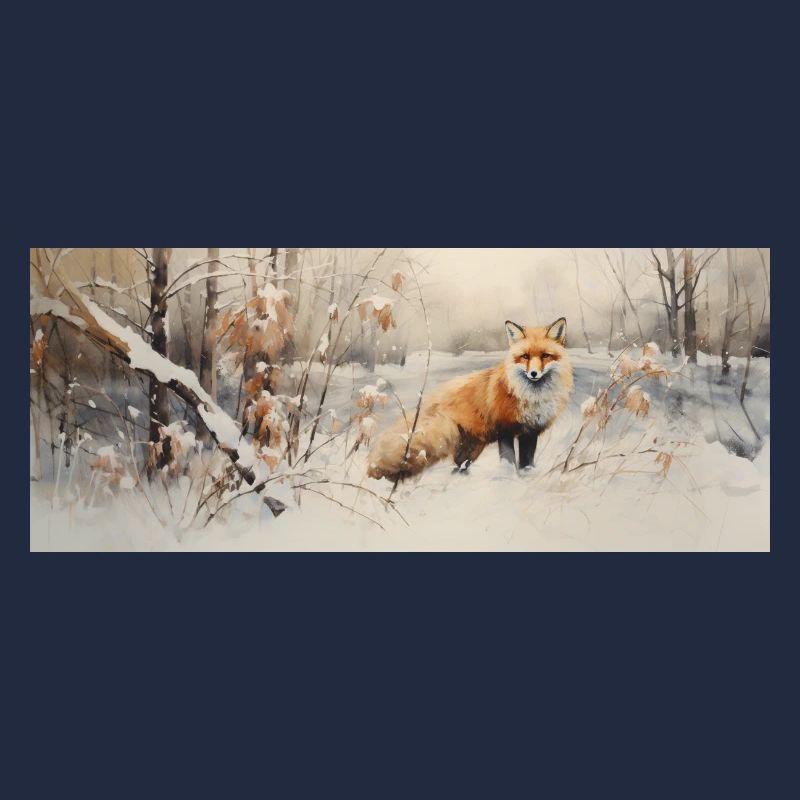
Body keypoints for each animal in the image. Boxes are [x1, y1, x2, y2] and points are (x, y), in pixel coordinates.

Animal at [367, 317, 574, 481]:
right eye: (525, 356)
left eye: (545, 356)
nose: (533, 374)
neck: (532, 397)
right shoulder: (505, 429)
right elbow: (508, 461)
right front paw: (508, 479)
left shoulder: (530, 432)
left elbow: (527, 463)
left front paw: (527, 477)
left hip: (471, 448)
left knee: (459, 466)